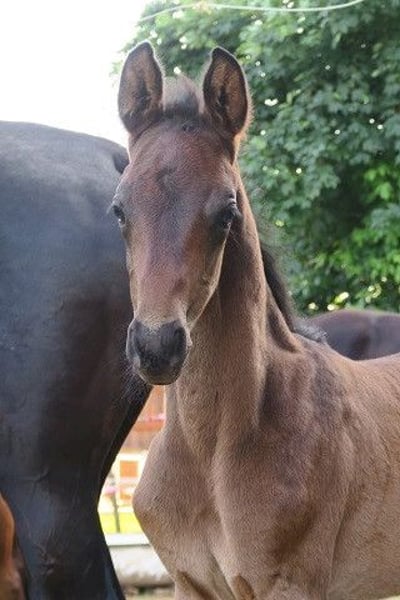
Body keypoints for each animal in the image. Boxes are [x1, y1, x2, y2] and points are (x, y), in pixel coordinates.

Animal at [113, 42, 400, 599]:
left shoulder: (288, 584)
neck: (212, 451)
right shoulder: (189, 583)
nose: (157, 346)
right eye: (118, 210)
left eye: (227, 213)